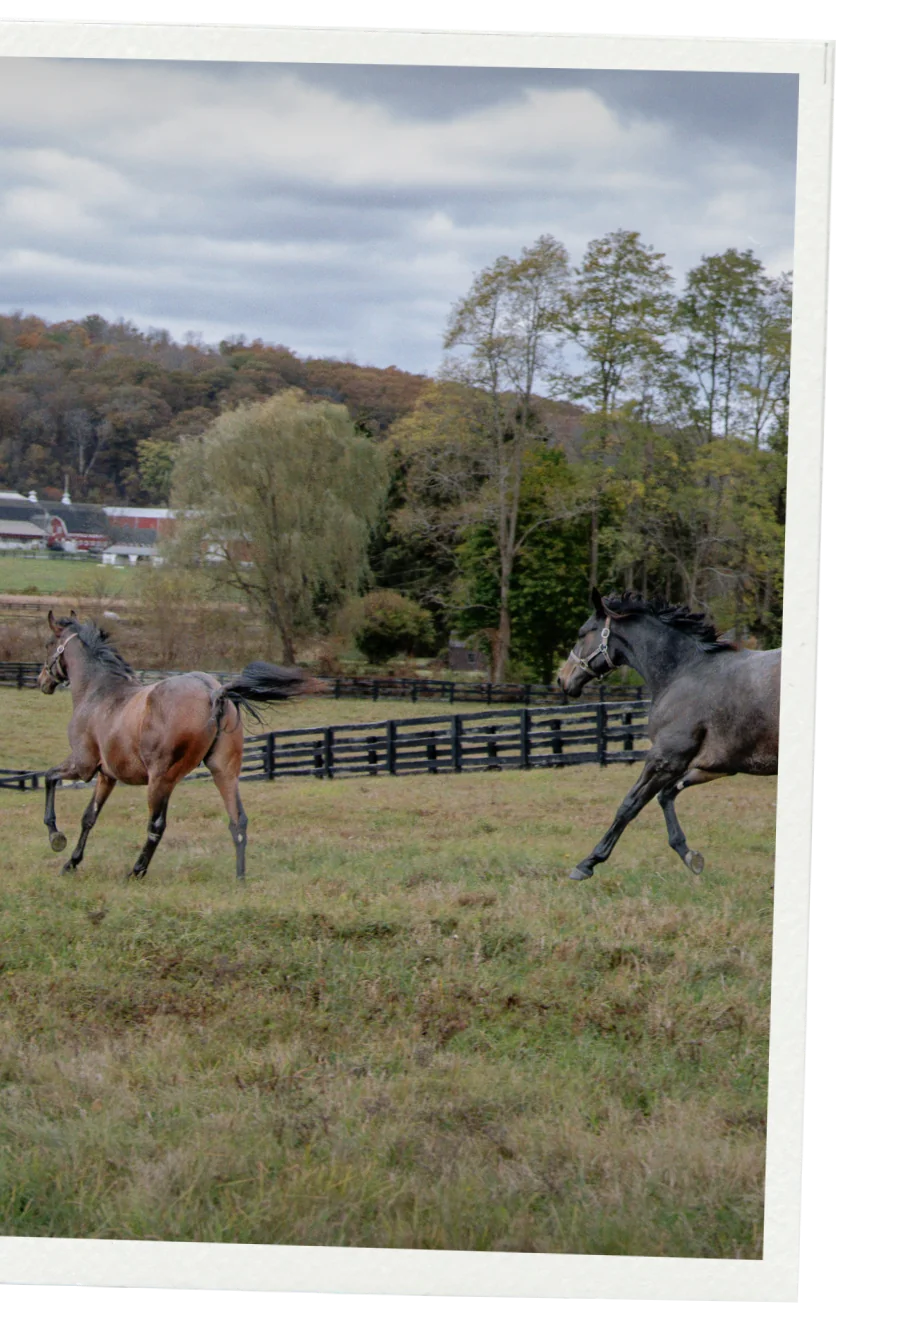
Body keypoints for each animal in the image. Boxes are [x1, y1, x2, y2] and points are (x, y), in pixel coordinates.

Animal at [37, 610, 328, 880]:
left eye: (49, 644)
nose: (42, 681)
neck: (99, 693)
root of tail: (214, 692)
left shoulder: (83, 766)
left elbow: (49, 777)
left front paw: (56, 838)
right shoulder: (106, 776)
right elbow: (89, 817)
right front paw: (71, 863)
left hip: (161, 780)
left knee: (156, 825)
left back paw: (136, 872)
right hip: (223, 773)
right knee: (238, 820)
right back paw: (240, 878)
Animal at [557, 587, 781, 882]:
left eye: (583, 633)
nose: (562, 679)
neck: (685, 672)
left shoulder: (665, 758)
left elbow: (629, 805)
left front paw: (587, 863)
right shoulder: (713, 766)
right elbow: (667, 795)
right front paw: (689, 855)